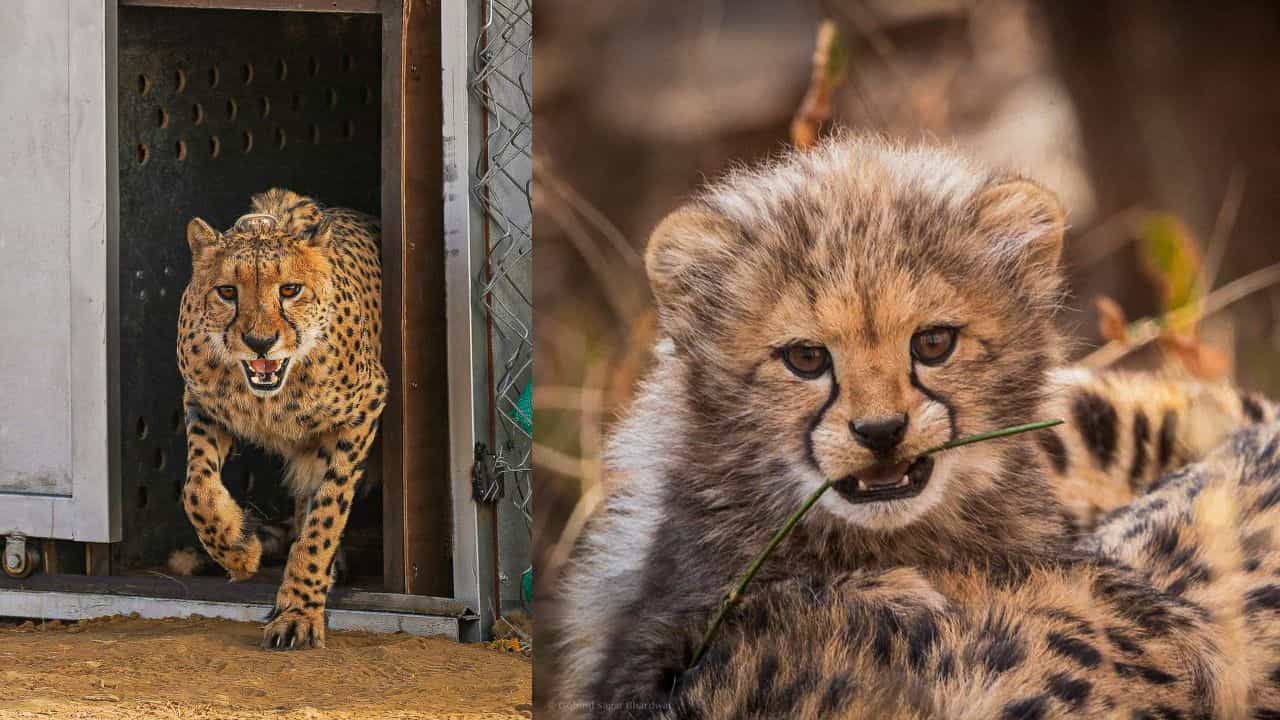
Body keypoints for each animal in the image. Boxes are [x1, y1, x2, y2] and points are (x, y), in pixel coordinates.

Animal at [176, 188, 386, 650]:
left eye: (290, 289)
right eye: (227, 291)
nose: (260, 341)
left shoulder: (365, 408)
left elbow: (326, 517)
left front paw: (299, 610)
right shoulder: (202, 403)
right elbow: (197, 488)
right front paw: (239, 550)